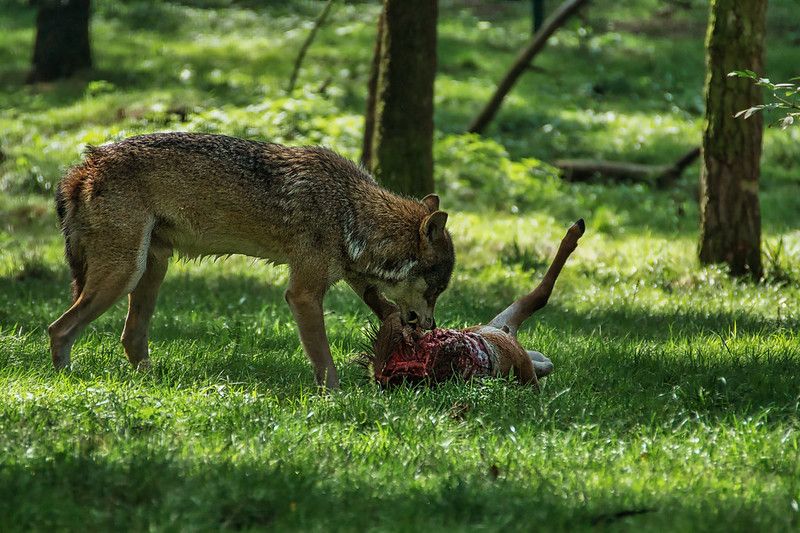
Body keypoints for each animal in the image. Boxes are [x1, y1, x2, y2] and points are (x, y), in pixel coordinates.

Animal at [49, 132, 454, 388]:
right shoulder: (303, 294)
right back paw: (67, 380)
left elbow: (382, 304)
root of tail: (86, 165)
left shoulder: (348, 272)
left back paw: (151, 382)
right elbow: (324, 361)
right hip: (123, 276)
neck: (351, 210)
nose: (432, 326)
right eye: (436, 289)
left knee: (130, 336)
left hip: (151, 269)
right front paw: (336, 397)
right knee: (59, 329)